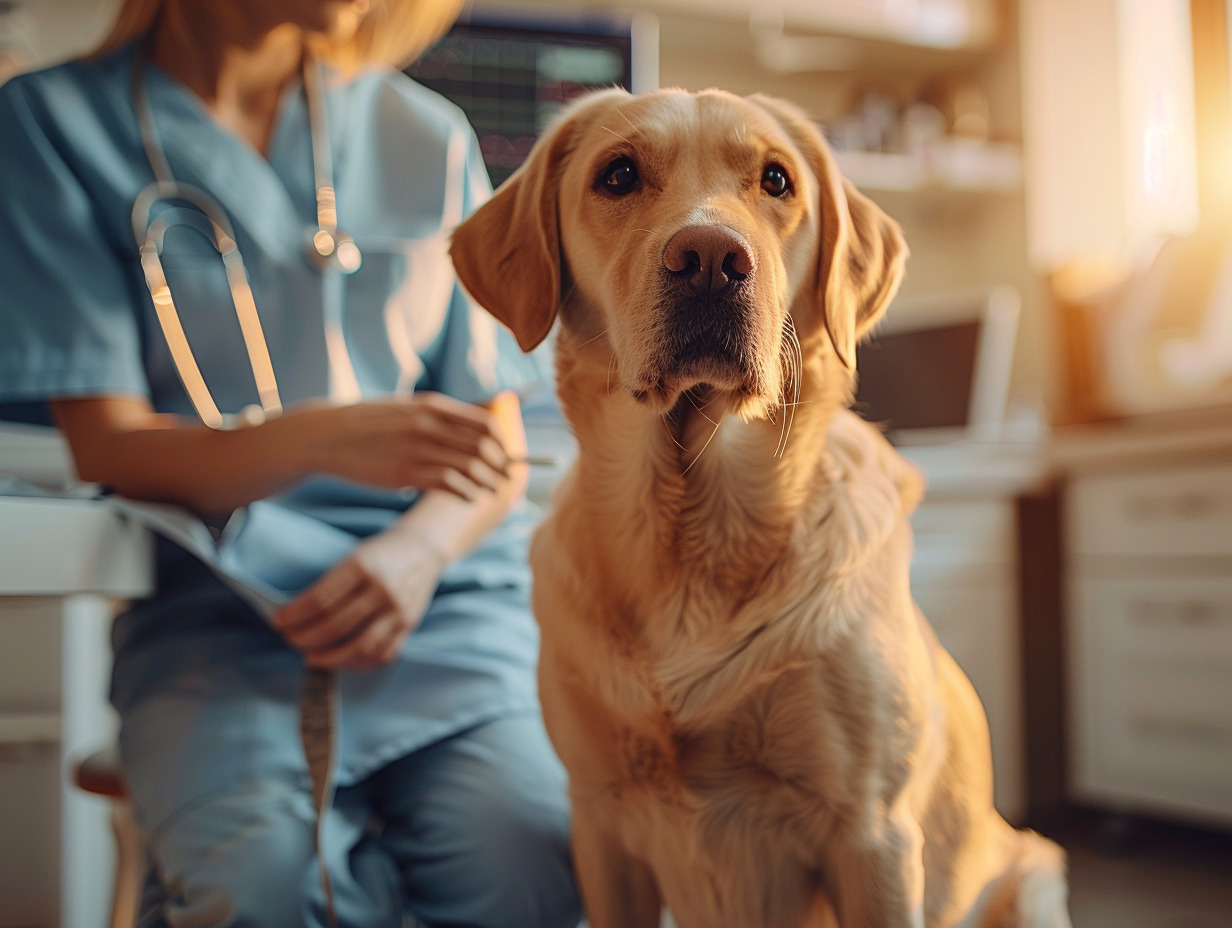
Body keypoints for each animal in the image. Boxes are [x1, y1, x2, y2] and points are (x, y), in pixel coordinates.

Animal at [450, 86, 1069, 926]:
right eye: (618, 175)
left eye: (777, 181)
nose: (710, 260)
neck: (691, 536)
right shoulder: (601, 827)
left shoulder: (870, 836)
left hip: (1034, 876)